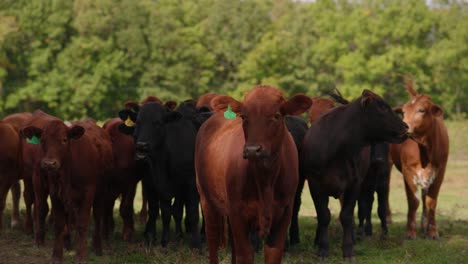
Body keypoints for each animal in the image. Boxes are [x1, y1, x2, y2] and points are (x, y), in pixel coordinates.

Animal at [22, 119, 113, 262]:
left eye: (64, 140)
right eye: (42, 140)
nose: (49, 164)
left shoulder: (88, 192)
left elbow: (82, 223)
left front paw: (81, 256)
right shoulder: (56, 193)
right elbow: (59, 224)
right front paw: (56, 255)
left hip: (101, 192)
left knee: (98, 215)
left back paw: (97, 247)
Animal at [117, 98, 201, 249]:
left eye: (158, 122)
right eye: (138, 122)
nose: (142, 145)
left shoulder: (191, 183)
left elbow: (193, 213)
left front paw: (196, 244)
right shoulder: (153, 184)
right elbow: (160, 211)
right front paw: (160, 240)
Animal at [196, 85, 312, 262]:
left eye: (276, 115)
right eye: (244, 116)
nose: (252, 150)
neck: (266, 180)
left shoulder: (285, 213)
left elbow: (272, 254)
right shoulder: (238, 212)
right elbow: (245, 254)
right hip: (206, 199)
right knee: (213, 239)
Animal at [302, 89, 408, 258]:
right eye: (383, 107)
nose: (405, 126)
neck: (336, 149)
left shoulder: (354, 184)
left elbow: (346, 216)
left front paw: (348, 249)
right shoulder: (314, 183)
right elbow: (323, 216)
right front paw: (323, 248)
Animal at [390, 78, 448, 239]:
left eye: (421, 110)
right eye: (403, 112)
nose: (403, 127)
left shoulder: (440, 171)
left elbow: (430, 201)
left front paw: (432, 231)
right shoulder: (408, 171)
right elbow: (413, 201)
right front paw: (410, 231)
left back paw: (424, 225)